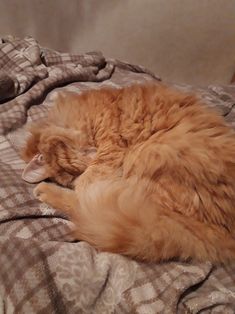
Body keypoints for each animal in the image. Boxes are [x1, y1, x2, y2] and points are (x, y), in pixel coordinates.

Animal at [21, 83, 235, 262]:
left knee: (86, 205)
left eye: (73, 168)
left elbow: (85, 186)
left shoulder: (109, 147)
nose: (89, 158)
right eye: (71, 174)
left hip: (147, 157)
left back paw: (45, 191)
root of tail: (223, 232)